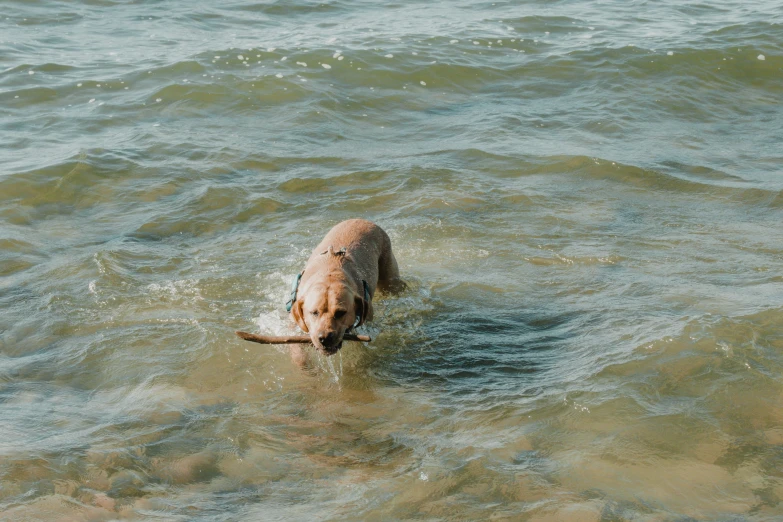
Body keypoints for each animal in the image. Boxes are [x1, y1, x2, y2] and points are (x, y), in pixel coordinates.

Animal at [284, 217, 404, 356]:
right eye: (314, 313)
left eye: (341, 313)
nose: (324, 338)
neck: (329, 274)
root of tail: (362, 219)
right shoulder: (294, 325)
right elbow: (297, 351)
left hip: (389, 276)